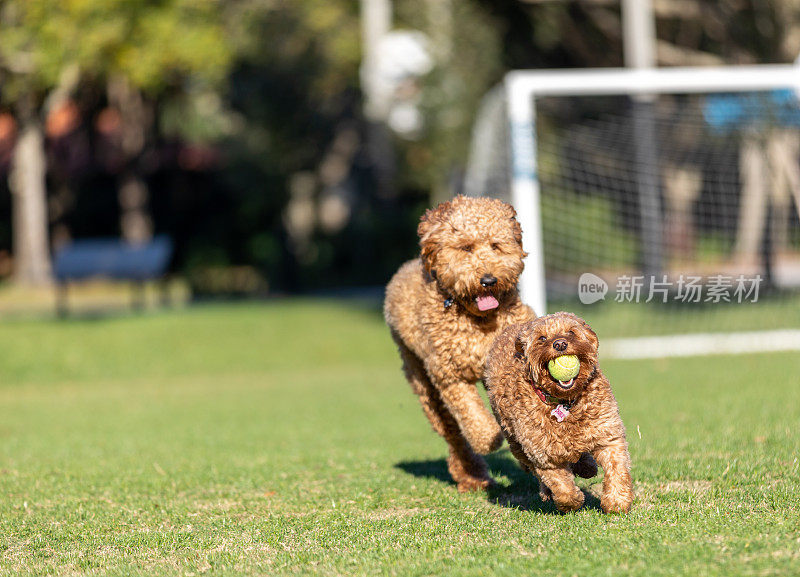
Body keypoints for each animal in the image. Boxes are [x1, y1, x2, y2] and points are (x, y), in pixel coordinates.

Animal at [382, 195, 536, 490]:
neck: (478, 319)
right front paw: (489, 437)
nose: (488, 280)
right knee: (453, 433)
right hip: (424, 384)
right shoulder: (449, 375)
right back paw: (471, 474)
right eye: (466, 247)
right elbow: (471, 414)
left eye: (496, 245)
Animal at [484, 312, 636, 510]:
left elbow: (617, 468)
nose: (560, 344)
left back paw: (587, 467)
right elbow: (561, 486)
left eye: (571, 332)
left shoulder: (607, 434)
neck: (565, 401)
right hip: (515, 441)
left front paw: (617, 501)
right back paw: (550, 491)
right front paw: (572, 502)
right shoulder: (543, 454)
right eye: (541, 338)